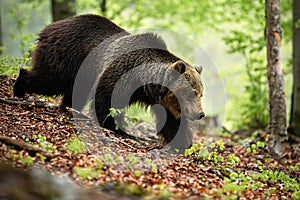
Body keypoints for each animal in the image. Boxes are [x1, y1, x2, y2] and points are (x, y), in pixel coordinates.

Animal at [13, 14, 204, 152]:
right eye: (192, 92)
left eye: (201, 93)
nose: (201, 114)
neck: (144, 82)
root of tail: (51, 26)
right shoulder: (121, 75)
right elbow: (107, 101)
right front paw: (118, 129)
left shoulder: (162, 101)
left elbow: (172, 121)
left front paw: (183, 142)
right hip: (66, 56)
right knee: (49, 79)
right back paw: (20, 88)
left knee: (75, 91)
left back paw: (70, 108)